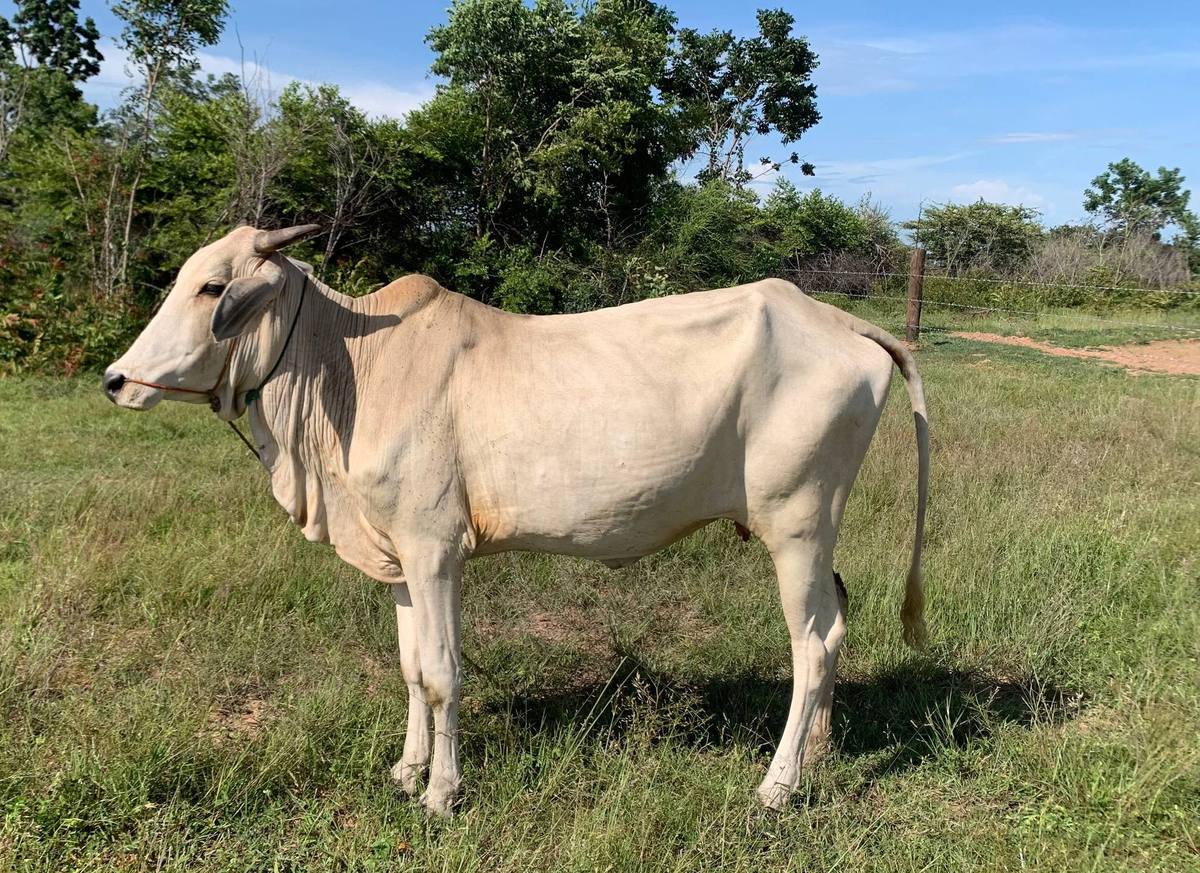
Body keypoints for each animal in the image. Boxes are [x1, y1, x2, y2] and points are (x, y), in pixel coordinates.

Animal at [103, 224, 929, 816]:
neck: (353, 368)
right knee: (837, 619)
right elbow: (410, 667)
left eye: (213, 285)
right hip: (814, 532)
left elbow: (442, 673)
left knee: (812, 644)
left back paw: (777, 785)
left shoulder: (435, 548)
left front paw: (442, 792)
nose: (115, 379)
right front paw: (407, 769)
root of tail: (841, 321)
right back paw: (818, 754)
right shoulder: (399, 559)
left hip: (797, 524)